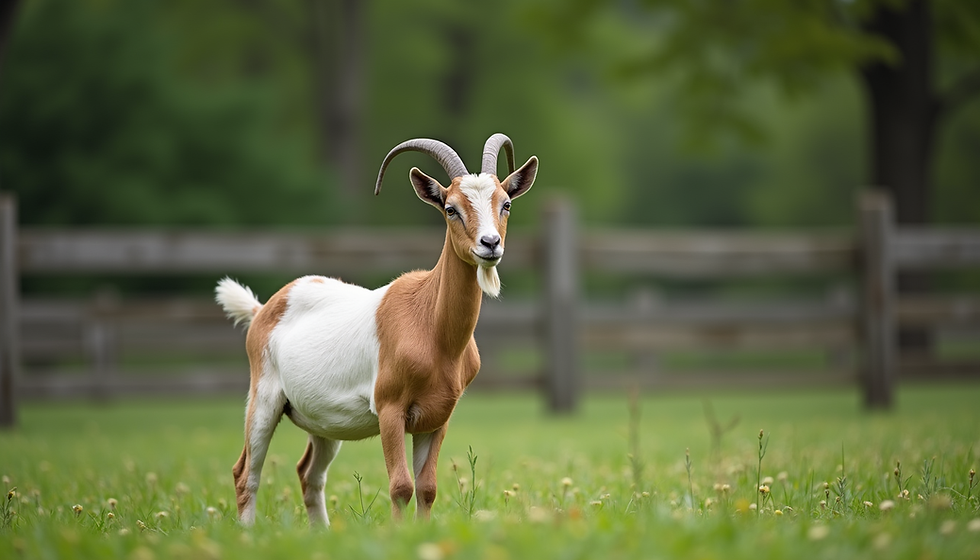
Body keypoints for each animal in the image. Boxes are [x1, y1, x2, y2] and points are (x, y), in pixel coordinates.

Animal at [215, 134, 537, 525]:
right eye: (451, 208)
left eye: (506, 204)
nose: (490, 244)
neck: (430, 325)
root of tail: (263, 309)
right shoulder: (389, 409)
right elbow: (401, 485)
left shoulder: (438, 417)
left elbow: (427, 487)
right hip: (263, 398)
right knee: (246, 472)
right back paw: (247, 532)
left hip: (324, 423)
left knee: (309, 474)